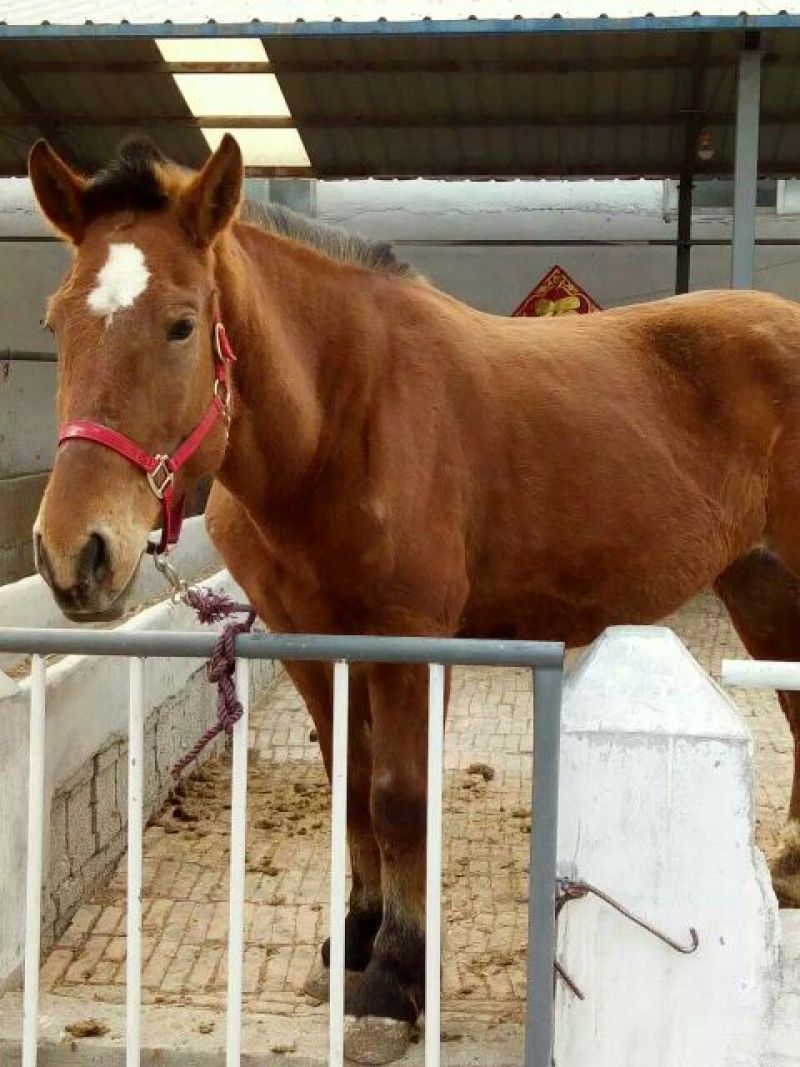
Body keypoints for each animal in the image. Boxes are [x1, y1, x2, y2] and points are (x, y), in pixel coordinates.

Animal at [27, 133, 800, 1062]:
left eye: (181, 322)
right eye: (56, 321)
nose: (75, 554)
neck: (340, 419)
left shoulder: (410, 641)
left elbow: (398, 796)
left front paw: (395, 978)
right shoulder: (311, 642)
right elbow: (351, 786)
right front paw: (355, 940)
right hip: (760, 586)